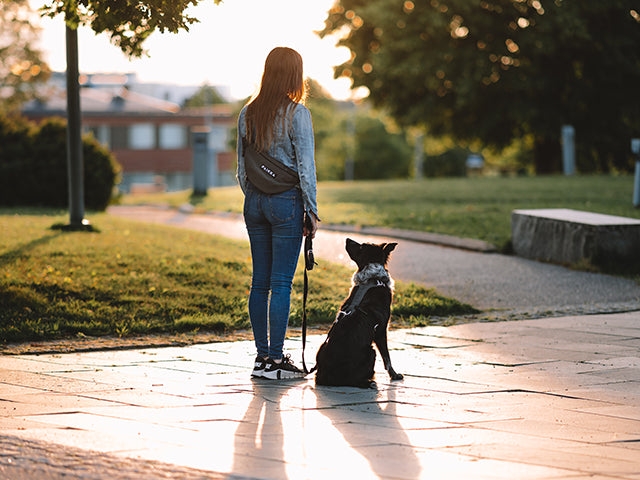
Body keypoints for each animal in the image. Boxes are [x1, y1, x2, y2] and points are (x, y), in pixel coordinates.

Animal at [314, 238, 402, 388]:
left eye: (361, 246)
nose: (347, 239)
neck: (371, 279)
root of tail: (327, 377)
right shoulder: (381, 330)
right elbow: (387, 358)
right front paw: (394, 375)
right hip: (371, 351)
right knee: (356, 380)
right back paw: (369, 382)